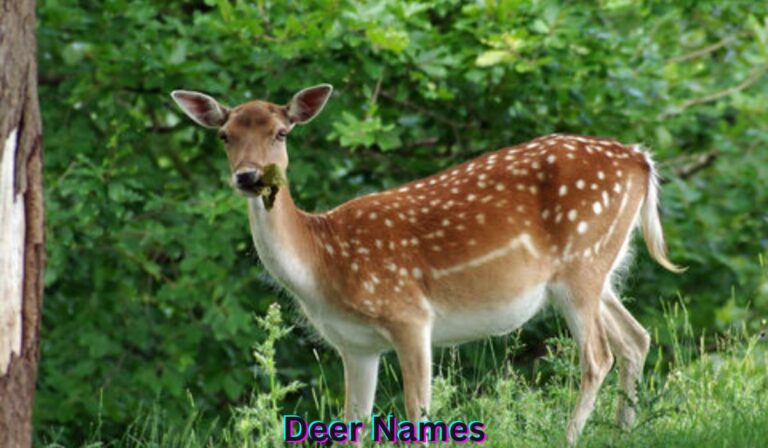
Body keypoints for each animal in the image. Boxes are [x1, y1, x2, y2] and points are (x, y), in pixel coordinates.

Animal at [171, 84, 683, 445]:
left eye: (281, 132)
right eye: (224, 135)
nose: (248, 176)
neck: (322, 266)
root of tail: (641, 159)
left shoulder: (410, 315)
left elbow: (417, 412)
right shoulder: (355, 345)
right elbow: (352, 424)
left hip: (581, 261)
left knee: (598, 356)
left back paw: (571, 438)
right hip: (598, 270)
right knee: (636, 338)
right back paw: (622, 434)